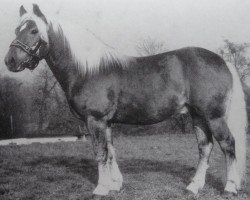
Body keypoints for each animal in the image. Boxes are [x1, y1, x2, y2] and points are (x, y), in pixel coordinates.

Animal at [4, 3, 247, 196]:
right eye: (17, 29)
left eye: (34, 30)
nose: (10, 61)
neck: (87, 70)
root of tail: (223, 61)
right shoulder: (107, 122)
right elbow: (111, 152)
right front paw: (115, 185)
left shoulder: (95, 120)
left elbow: (100, 152)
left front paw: (101, 189)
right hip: (197, 116)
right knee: (205, 147)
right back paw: (193, 187)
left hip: (214, 117)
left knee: (228, 144)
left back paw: (230, 188)